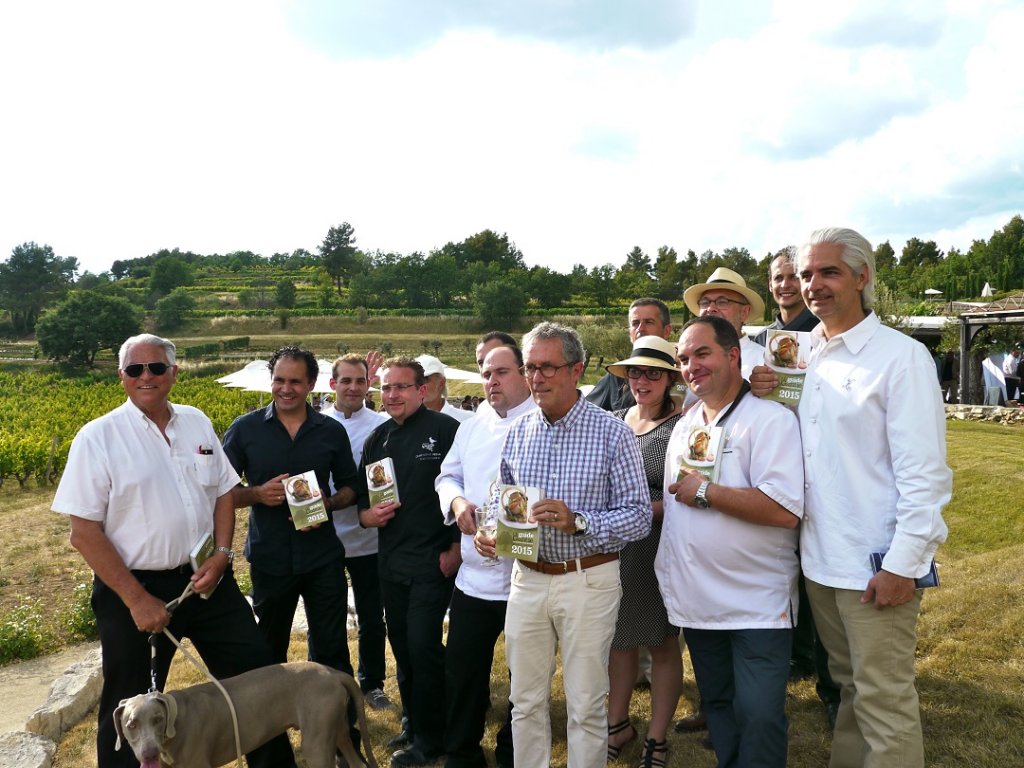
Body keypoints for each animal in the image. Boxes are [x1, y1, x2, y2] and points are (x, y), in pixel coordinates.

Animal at [113, 663, 376, 768]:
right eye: (131, 724)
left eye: (158, 719)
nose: (149, 754)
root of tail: (333, 673)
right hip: (336, 728)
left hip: (316, 743)